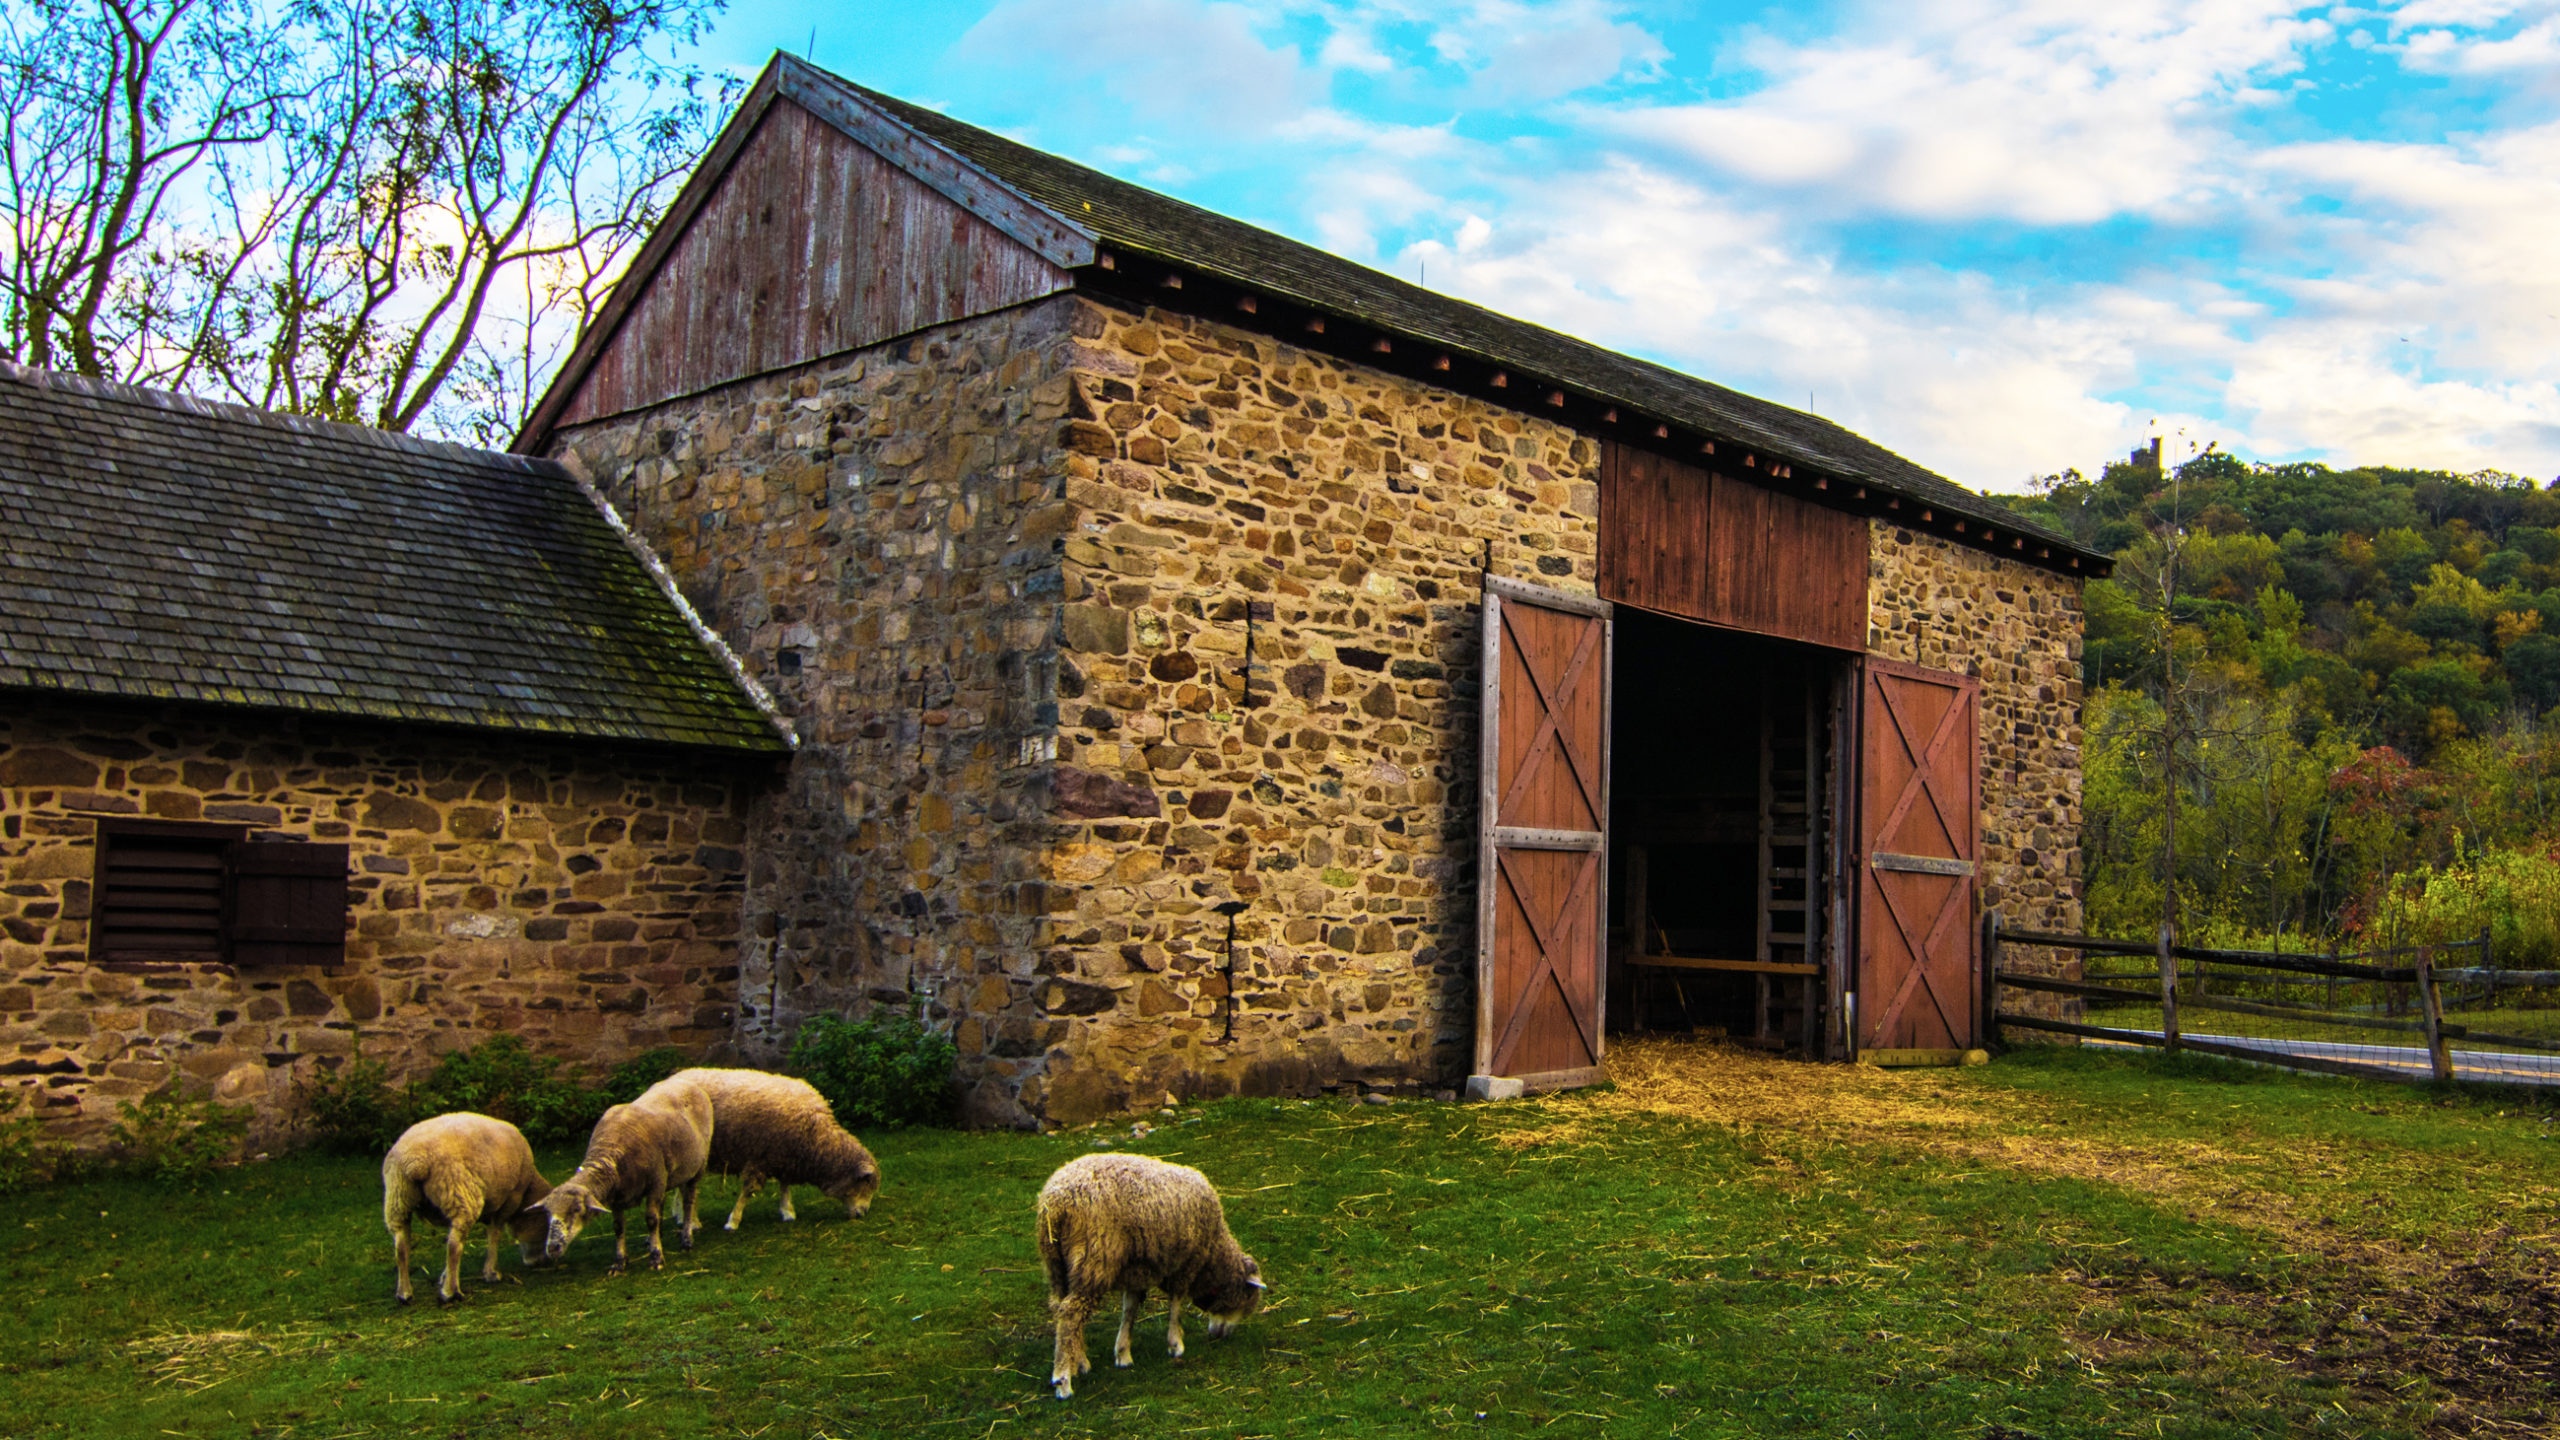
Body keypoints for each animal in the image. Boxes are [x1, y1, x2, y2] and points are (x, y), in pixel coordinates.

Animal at [378, 1112, 550, 1301]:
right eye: (545, 1228)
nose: (540, 1262)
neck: (527, 1191)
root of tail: (416, 1161)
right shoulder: (509, 1201)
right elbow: (494, 1234)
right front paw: (490, 1273)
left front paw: (444, 1276)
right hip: (458, 1194)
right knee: (454, 1247)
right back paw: (450, 1292)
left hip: (398, 1198)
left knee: (401, 1247)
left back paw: (404, 1293)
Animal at [527, 1065, 716, 1265]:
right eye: (547, 1213)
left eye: (577, 1210)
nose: (552, 1249)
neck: (610, 1152)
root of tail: (686, 1082)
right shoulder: (617, 1194)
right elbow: (618, 1227)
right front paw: (619, 1262)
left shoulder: (655, 1180)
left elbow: (651, 1219)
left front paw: (656, 1257)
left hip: (697, 1167)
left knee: (688, 1203)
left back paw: (686, 1240)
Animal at [665, 1065, 885, 1219]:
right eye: (865, 1185)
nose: (862, 1214)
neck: (816, 1136)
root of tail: (674, 1077)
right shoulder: (760, 1156)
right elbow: (749, 1191)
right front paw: (733, 1220)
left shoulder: (783, 1156)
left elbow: (785, 1185)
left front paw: (787, 1212)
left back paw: (678, 1213)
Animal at [1034, 1142, 1264, 1393]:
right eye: (1245, 1300)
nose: (1221, 1337)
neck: (1213, 1254)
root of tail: (1057, 1202)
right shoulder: (1186, 1265)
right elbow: (1176, 1304)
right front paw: (1175, 1344)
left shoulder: (1136, 1271)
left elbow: (1130, 1310)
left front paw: (1123, 1354)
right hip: (1095, 1259)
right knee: (1071, 1314)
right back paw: (1063, 1379)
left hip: (1057, 1265)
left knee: (1063, 1310)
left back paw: (1079, 1362)